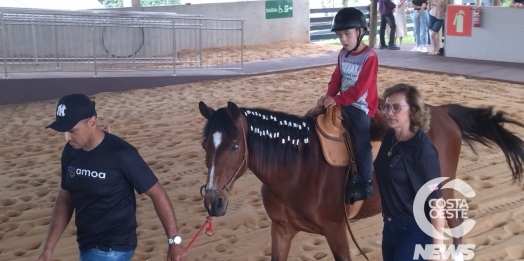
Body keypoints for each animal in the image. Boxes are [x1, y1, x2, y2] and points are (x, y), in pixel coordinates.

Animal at [198, 98, 524, 258]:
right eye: (204, 145)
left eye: (235, 145)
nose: (214, 202)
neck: (297, 170)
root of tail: (443, 112)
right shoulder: (281, 230)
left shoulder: (336, 230)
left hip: (441, 191)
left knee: (454, 225)